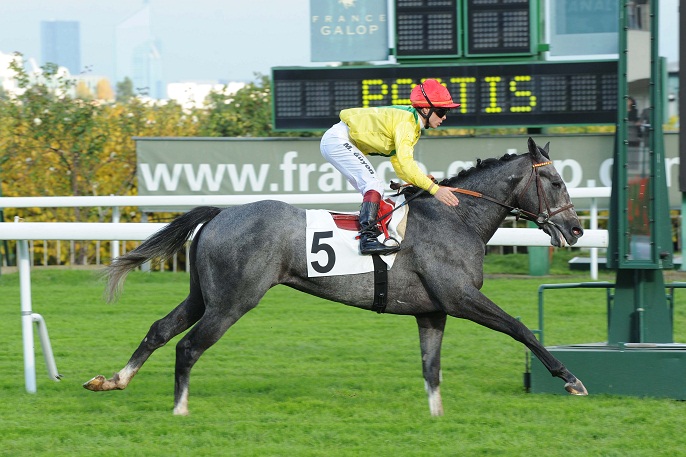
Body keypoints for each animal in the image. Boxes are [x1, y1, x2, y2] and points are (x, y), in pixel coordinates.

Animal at [84, 137, 592, 416]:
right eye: (555, 183)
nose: (576, 228)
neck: (456, 217)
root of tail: (220, 214)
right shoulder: (460, 297)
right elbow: (520, 328)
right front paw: (571, 379)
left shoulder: (432, 310)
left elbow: (431, 368)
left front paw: (437, 415)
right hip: (232, 301)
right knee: (188, 346)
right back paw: (180, 407)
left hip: (203, 296)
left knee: (160, 329)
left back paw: (113, 380)